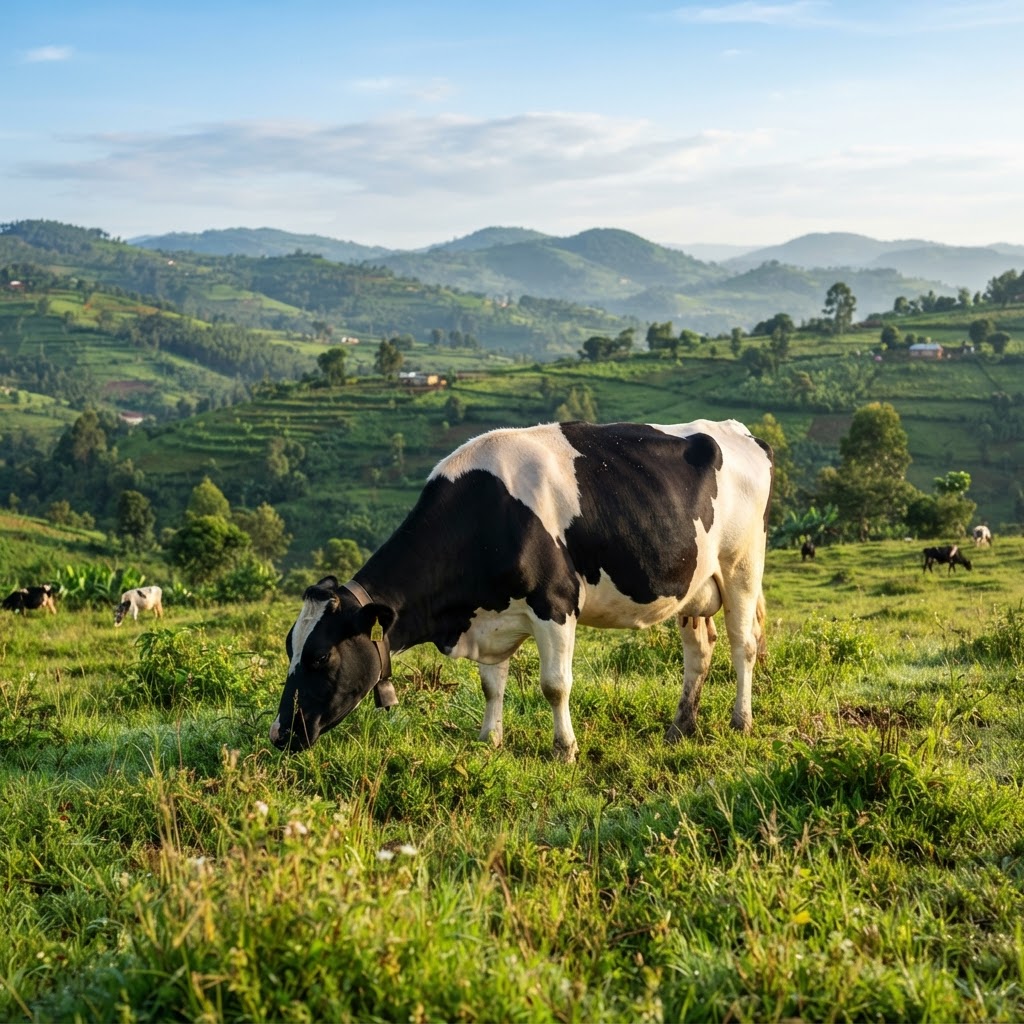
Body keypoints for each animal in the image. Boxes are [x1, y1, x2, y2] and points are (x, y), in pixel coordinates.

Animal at [270, 419, 774, 762]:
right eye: (290, 648)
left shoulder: (555, 603)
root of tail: (738, 432)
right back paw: (680, 728)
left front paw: (565, 749)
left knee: (742, 644)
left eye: (320, 657)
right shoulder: (490, 617)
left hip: (742, 565)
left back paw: (741, 721)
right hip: (693, 585)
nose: (279, 734)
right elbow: (492, 685)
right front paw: (489, 740)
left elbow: (555, 685)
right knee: (699, 649)